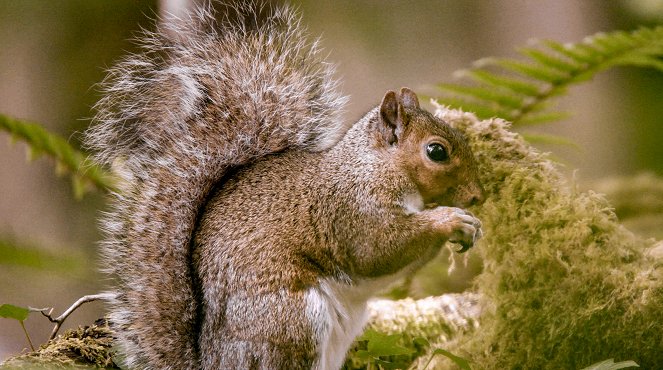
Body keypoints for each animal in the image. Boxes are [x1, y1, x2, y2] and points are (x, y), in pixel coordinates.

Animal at [85, 1, 486, 368]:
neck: (373, 166)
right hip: (291, 320)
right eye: (436, 151)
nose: (477, 196)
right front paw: (451, 219)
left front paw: (469, 228)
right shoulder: (351, 209)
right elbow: (378, 248)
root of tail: (212, 359)